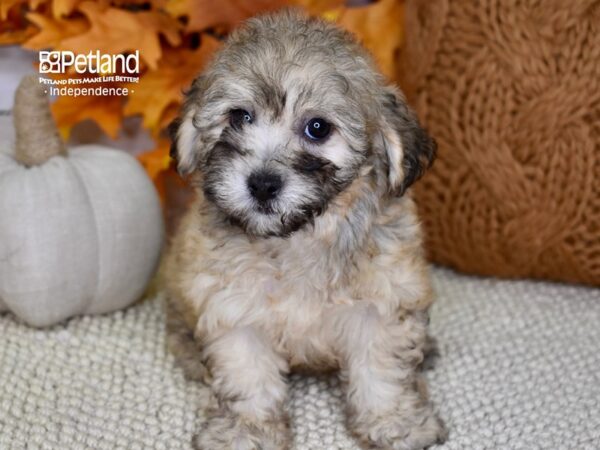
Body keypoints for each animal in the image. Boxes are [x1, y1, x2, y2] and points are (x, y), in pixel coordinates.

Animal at [164, 9, 446, 450]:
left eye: (318, 128)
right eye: (239, 117)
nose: (262, 184)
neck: (300, 237)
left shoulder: (382, 300)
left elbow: (382, 368)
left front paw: (396, 423)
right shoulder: (234, 309)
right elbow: (247, 374)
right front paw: (246, 431)